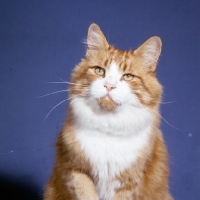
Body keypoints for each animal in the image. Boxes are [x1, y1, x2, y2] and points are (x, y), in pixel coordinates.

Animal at [43, 23, 173, 200]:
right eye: (99, 71)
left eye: (128, 77)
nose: (109, 86)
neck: (108, 129)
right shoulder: (74, 170)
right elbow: (86, 193)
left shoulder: (128, 183)